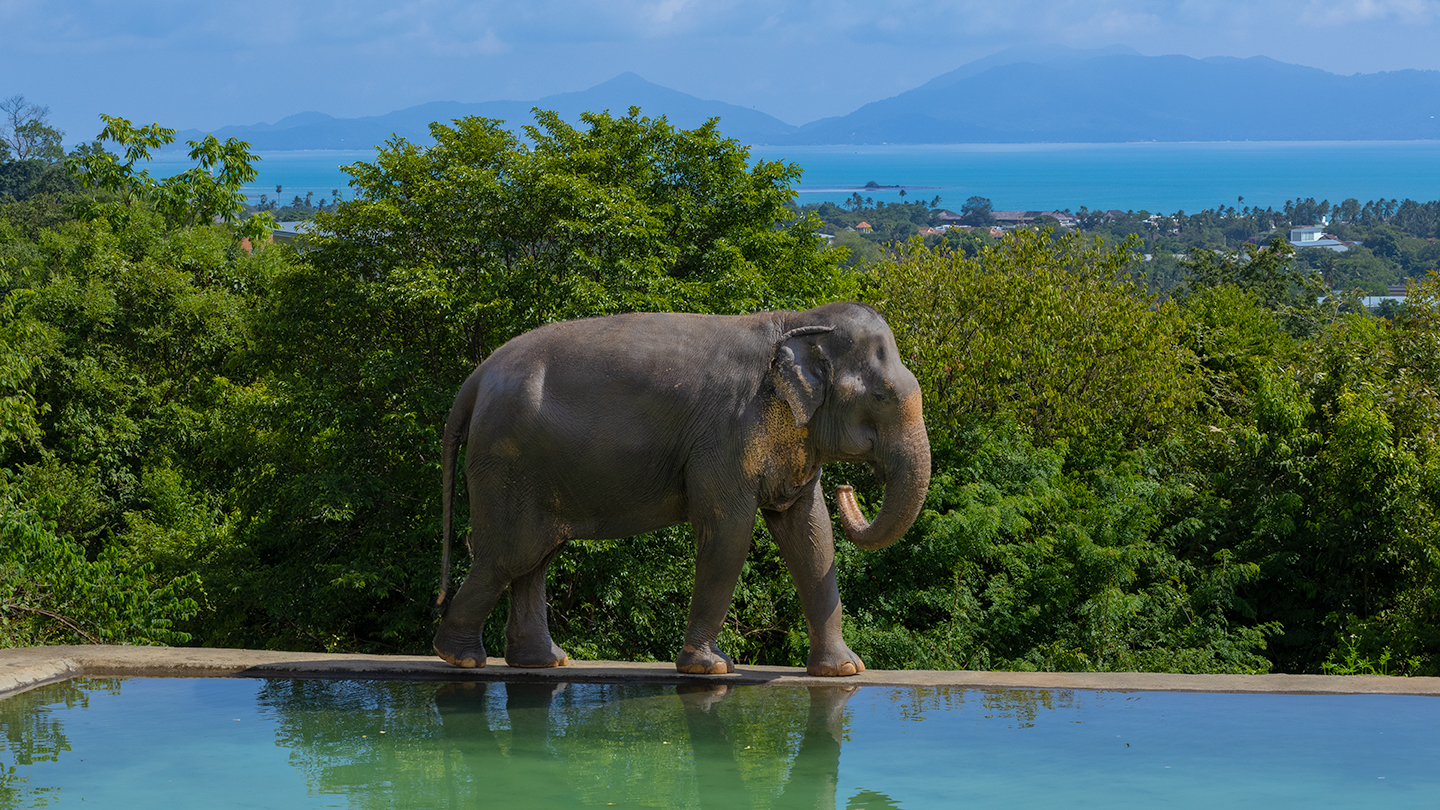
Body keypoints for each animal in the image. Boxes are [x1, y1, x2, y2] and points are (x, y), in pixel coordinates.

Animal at [431, 301, 931, 676]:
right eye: (881, 397)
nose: (849, 488)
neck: (798, 319)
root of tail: (478, 377)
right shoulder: (724, 436)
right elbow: (729, 533)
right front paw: (710, 668)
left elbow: (810, 533)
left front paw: (844, 670)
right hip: (506, 461)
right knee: (508, 555)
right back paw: (462, 658)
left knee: (534, 558)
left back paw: (542, 662)